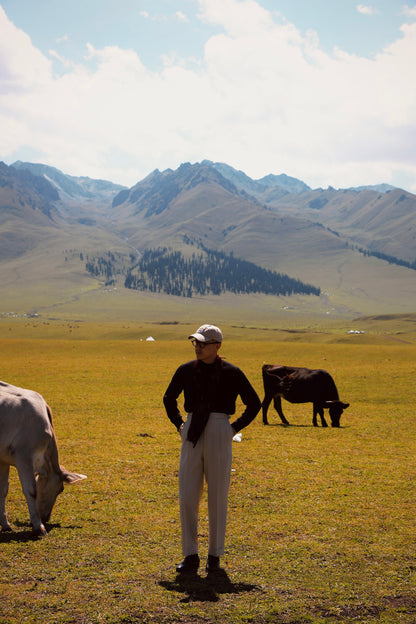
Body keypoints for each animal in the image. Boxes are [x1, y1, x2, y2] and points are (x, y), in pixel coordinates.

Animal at [0, 380, 86, 536]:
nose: (45, 518)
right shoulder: (24, 455)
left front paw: (5, 524)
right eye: (60, 489)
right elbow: (31, 491)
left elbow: (3, 490)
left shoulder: (3, 458)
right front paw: (38, 526)